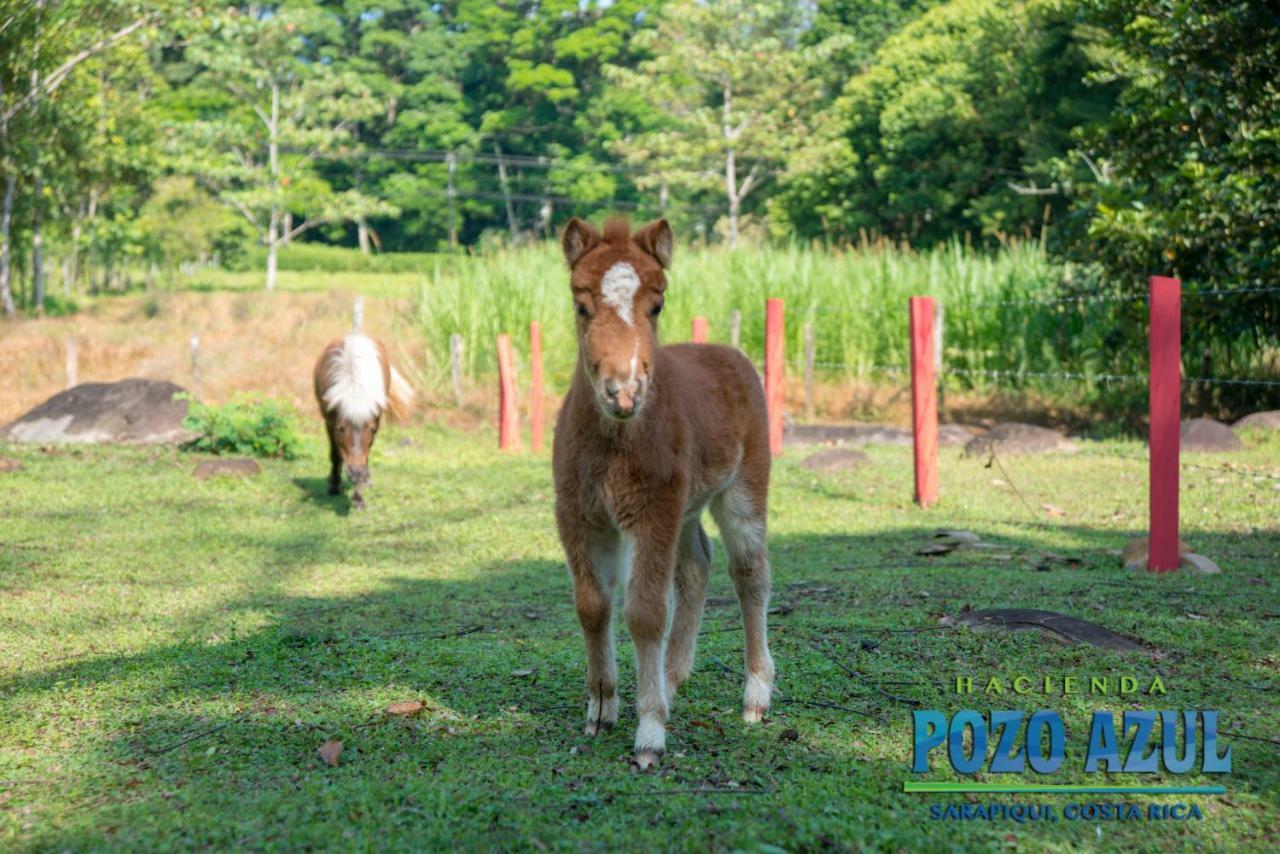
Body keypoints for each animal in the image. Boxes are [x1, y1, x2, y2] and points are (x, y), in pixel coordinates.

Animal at [312, 332, 412, 507]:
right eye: (340, 428)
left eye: (371, 429)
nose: (356, 472)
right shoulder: (329, 423)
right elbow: (335, 454)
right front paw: (334, 486)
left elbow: (364, 455)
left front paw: (358, 497)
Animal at [547, 217, 768, 773]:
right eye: (581, 305)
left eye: (658, 305)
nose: (623, 391)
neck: (614, 441)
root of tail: (727, 352)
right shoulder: (579, 514)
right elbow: (592, 605)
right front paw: (601, 708)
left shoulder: (652, 512)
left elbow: (646, 612)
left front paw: (649, 734)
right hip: (685, 508)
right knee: (696, 564)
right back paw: (670, 679)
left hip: (742, 487)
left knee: (749, 573)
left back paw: (756, 696)